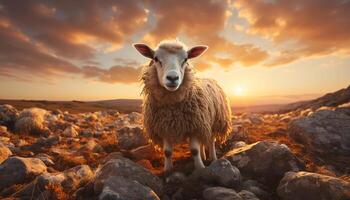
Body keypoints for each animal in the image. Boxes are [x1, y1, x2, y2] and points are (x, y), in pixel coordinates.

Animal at [134, 39, 232, 171]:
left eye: (185, 59)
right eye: (156, 58)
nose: (172, 78)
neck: (173, 108)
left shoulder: (195, 125)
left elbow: (194, 150)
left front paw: (200, 168)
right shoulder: (164, 127)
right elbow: (167, 152)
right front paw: (168, 170)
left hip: (214, 122)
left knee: (211, 140)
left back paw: (213, 158)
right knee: (202, 142)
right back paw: (204, 156)